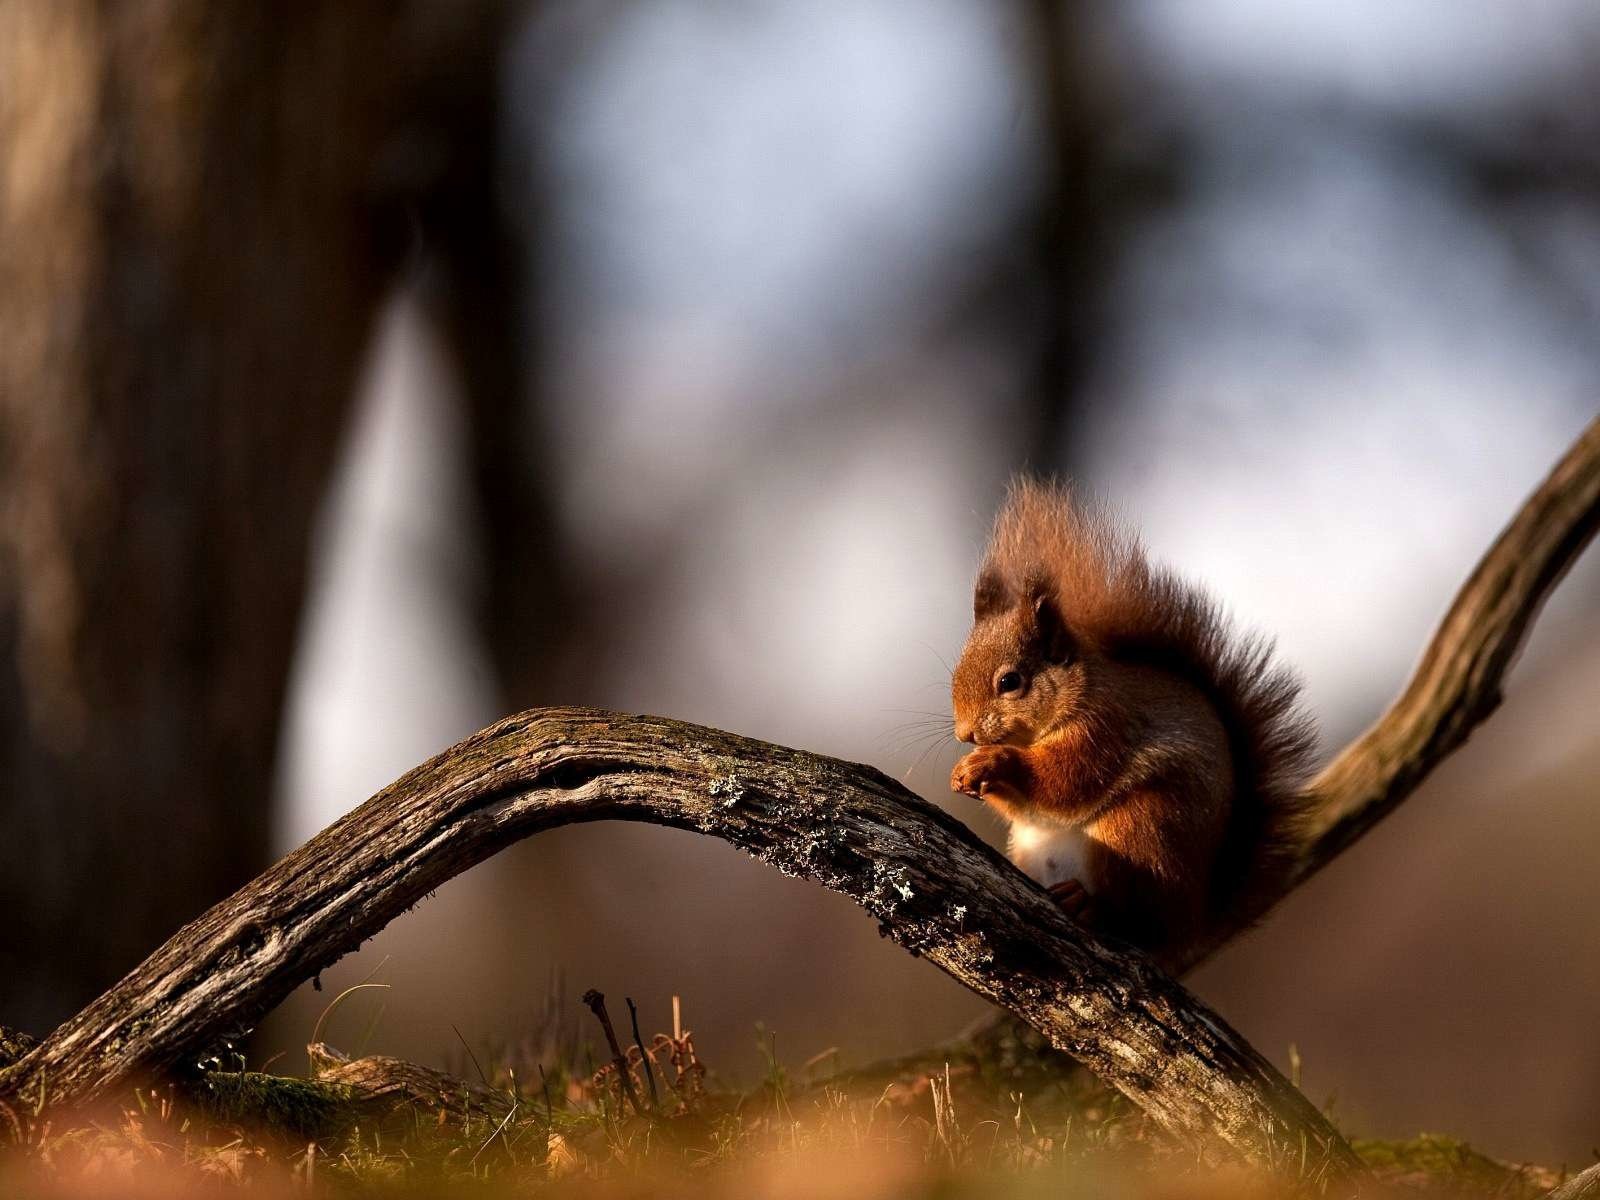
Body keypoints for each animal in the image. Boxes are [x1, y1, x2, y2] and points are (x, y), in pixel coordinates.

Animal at [947, 483, 1312, 966]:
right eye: (956, 672)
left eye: (1010, 682)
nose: (965, 734)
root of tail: (1191, 924)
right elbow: (1028, 807)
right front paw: (966, 772)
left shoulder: (1105, 727)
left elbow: (1064, 782)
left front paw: (994, 761)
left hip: (1141, 830)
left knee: (1135, 919)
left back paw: (1091, 907)